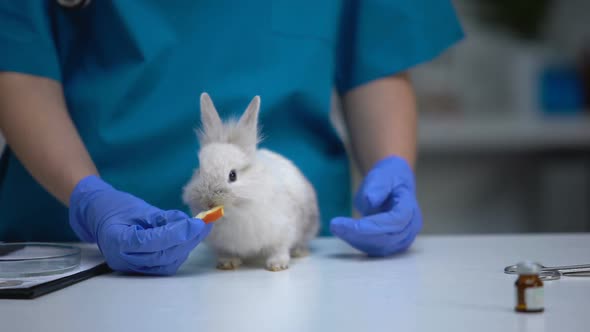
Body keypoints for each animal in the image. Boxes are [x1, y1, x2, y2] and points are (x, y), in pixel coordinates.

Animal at [184, 92, 320, 272]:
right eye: (200, 171)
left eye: (232, 175)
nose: (208, 201)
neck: (237, 213)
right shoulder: (223, 244)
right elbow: (227, 252)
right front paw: (227, 263)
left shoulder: (283, 230)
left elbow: (280, 248)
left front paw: (277, 265)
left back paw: (299, 252)